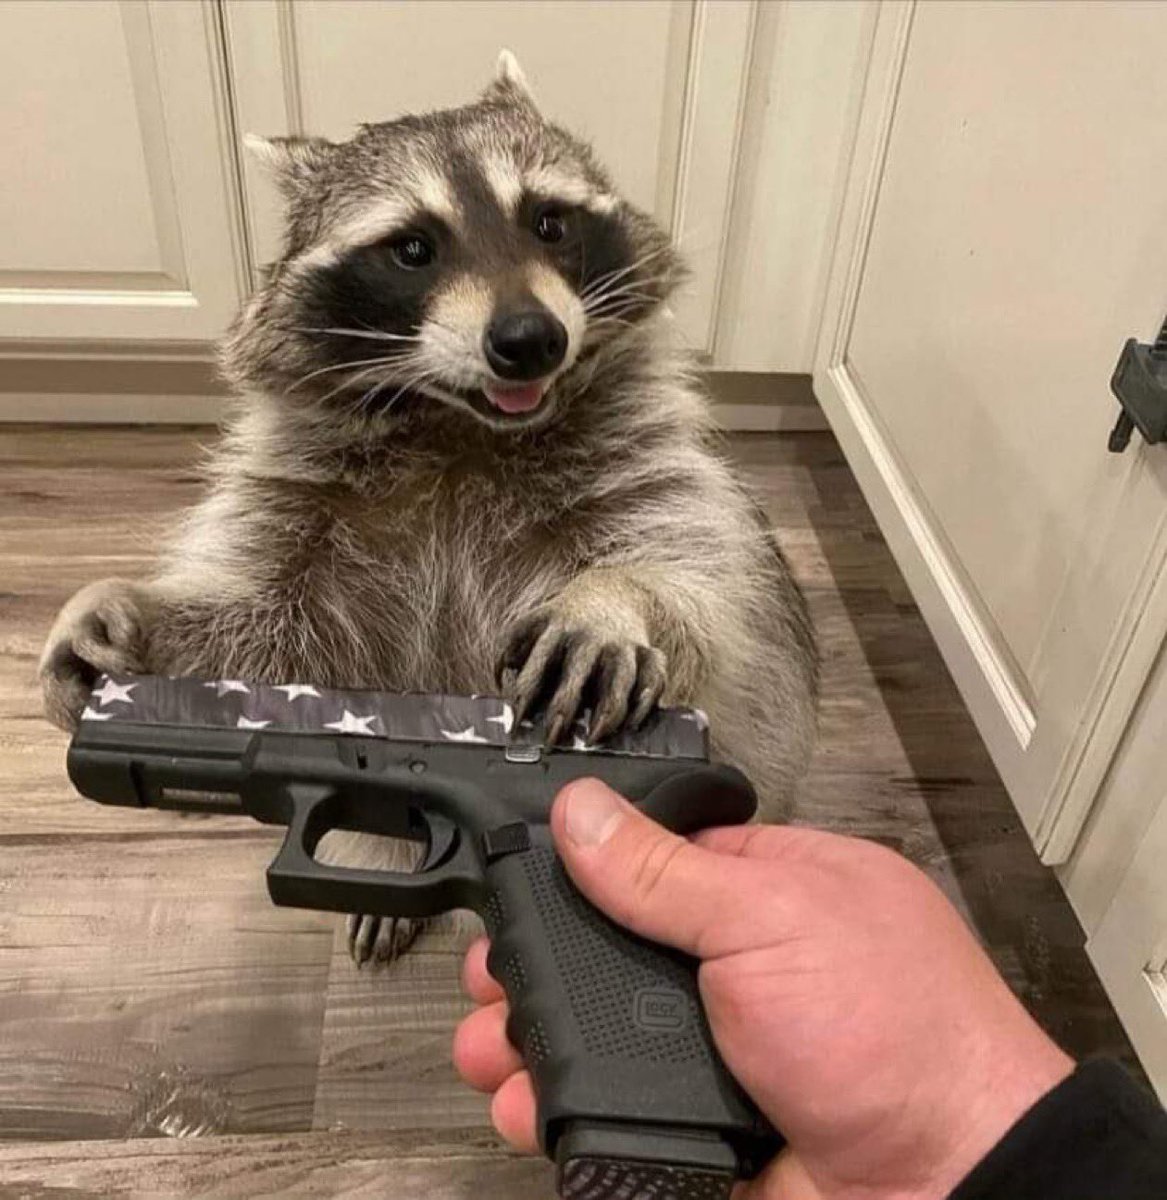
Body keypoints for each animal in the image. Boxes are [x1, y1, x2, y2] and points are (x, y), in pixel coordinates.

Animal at [40, 53, 818, 963]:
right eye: (412, 248)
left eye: (548, 222)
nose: (530, 339)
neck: (459, 425)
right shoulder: (298, 495)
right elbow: (271, 628)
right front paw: (131, 619)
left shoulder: (646, 457)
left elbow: (707, 582)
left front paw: (615, 598)